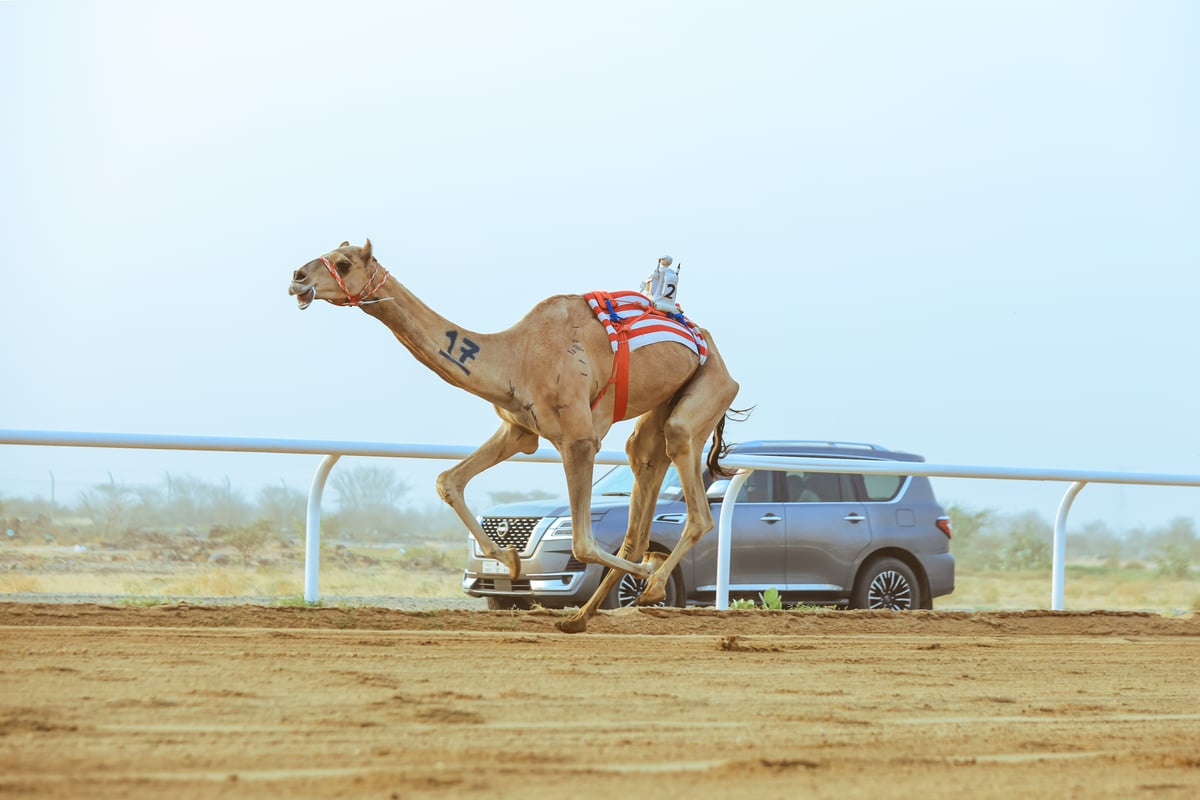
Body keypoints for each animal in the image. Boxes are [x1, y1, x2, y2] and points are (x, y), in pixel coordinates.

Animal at [290, 241, 739, 633]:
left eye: (344, 262)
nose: (297, 277)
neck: (516, 356)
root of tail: (707, 342)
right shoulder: (519, 430)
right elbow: (447, 481)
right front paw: (508, 559)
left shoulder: (578, 439)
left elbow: (582, 544)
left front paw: (646, 571)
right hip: (662, 406)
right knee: (641, 477)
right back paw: (578, 619)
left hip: (709, 388)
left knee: (693, 495)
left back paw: (651, 584)